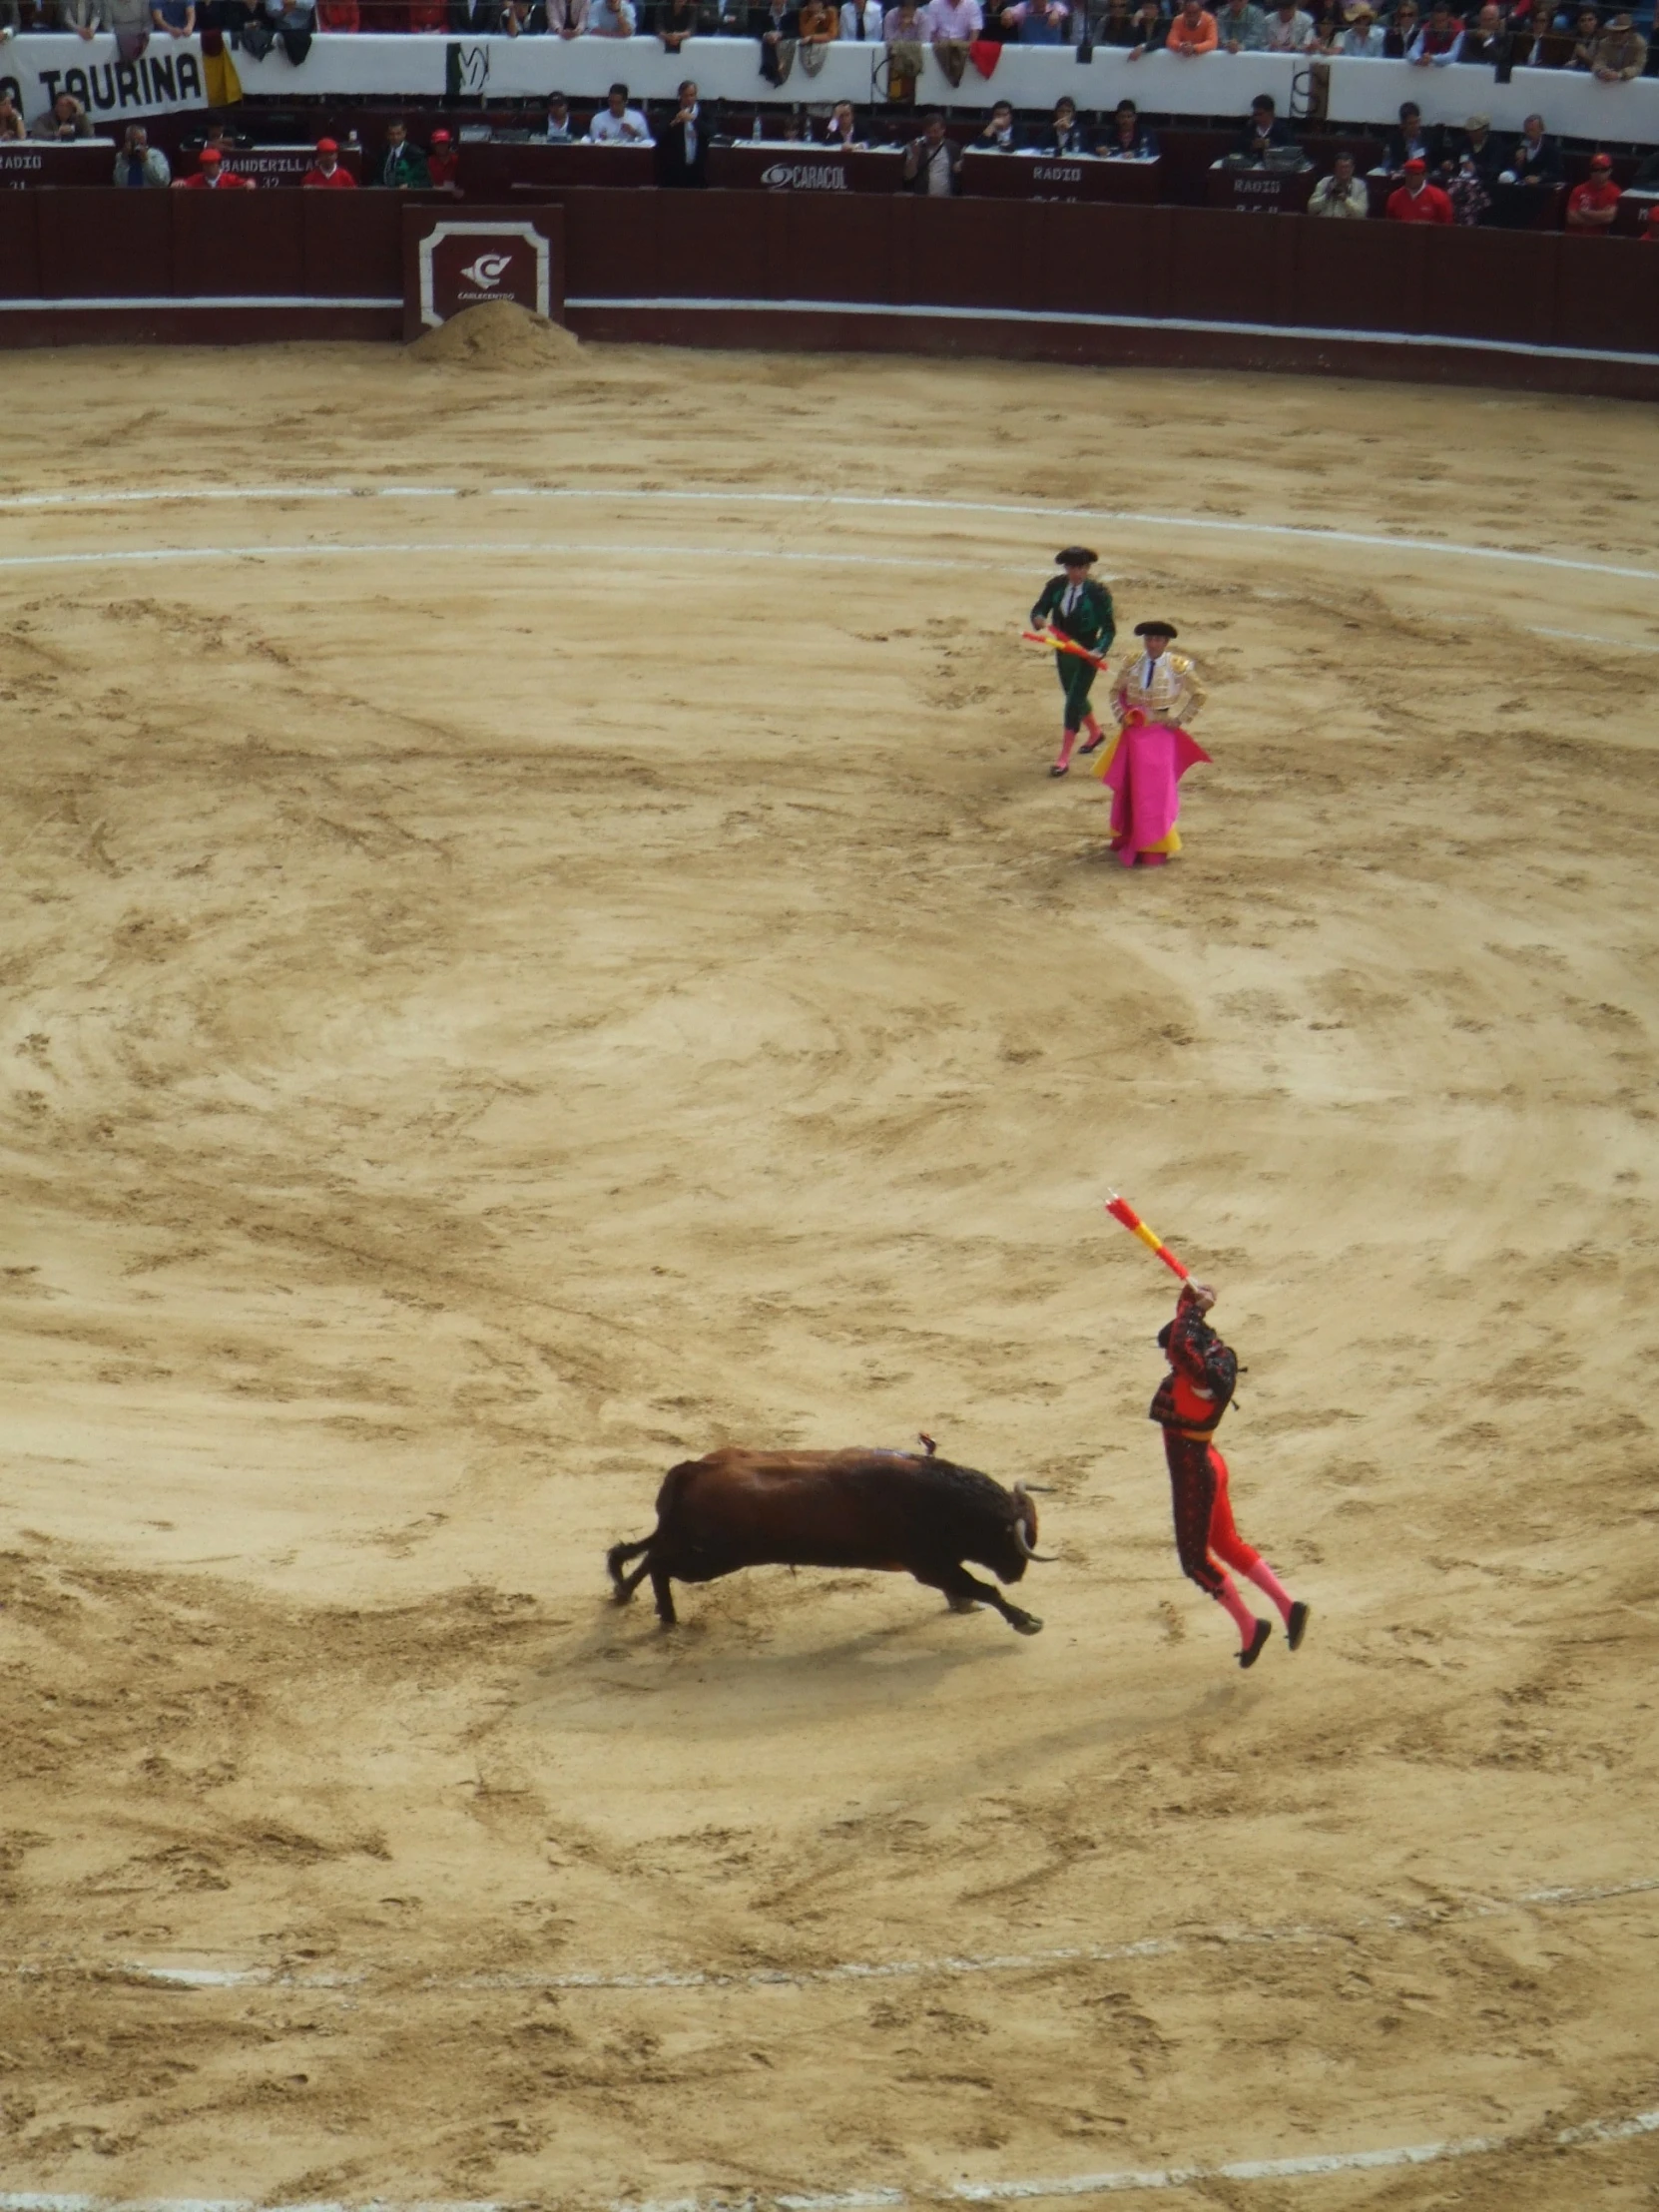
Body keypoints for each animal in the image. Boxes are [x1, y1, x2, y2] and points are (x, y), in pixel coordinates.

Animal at [606, 1441, 1052, 1636]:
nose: (1018, 1574)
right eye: (1012, 1542)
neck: (938, 1499)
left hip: (690, 1545)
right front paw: (1025, 1620)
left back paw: (627, 1594)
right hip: (710, 1558)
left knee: (645, 1555)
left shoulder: (937, 1564)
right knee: (658, 1563)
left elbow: (965, 1587)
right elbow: (983, 1588)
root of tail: (693, 1468)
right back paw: (666, 1617)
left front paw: (963, 1605)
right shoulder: (928, 1564)